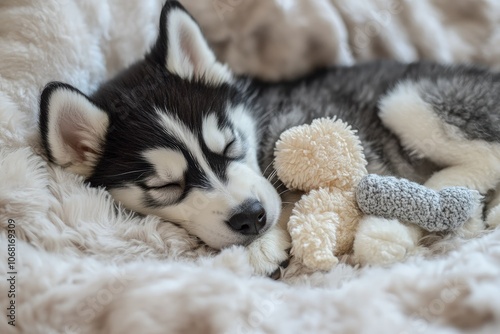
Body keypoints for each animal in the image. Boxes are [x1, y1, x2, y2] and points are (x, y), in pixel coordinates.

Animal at [38, 0, 500, 274]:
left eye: (229, 145)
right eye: (165, 187)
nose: (251, 217)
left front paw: (268, 239)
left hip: (406, 99)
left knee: (484, 158)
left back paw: (433, 199)